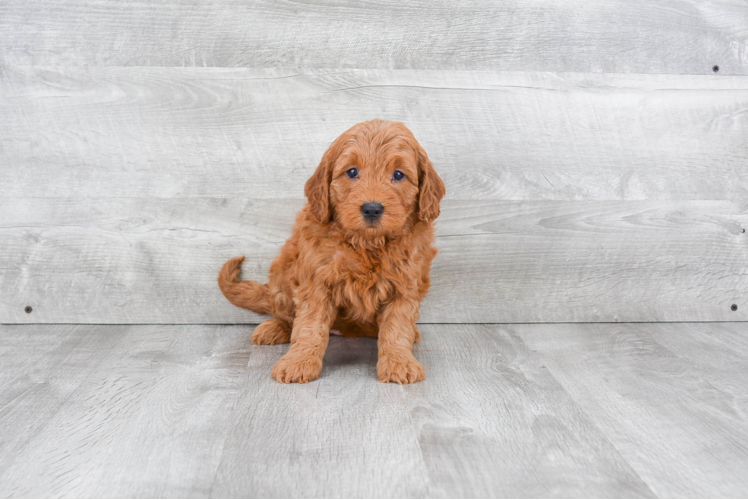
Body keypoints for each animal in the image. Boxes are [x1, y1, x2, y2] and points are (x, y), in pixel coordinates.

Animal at [219, 119, 448, 384]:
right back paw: (275, 328)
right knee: (286, 314)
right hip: (282, 274)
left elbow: (396, 328)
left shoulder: (405, 285)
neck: (366, 243)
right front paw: (299, 361)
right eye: (352, 172)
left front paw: (399, 362)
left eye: (399, 175)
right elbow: (309, 327)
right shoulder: (316, 281)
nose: (372, 209)